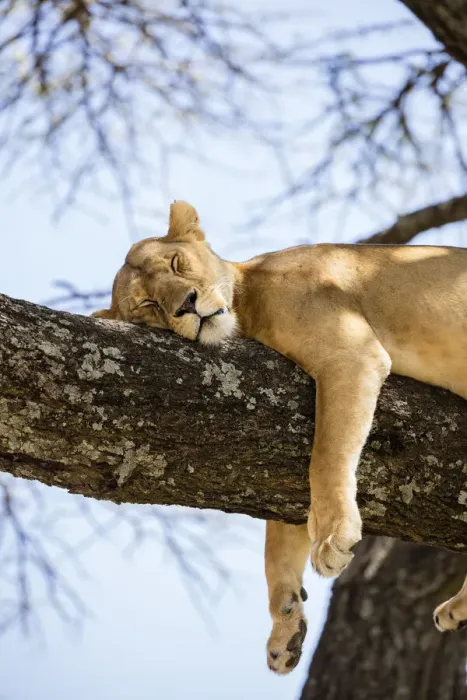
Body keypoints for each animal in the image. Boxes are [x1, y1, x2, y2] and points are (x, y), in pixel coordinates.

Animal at [93, 200, 467, 674]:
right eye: (147, 304)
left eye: (176, 263)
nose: (187, 306)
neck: (248, 303)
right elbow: (278, 540)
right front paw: (285, 624)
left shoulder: (350, 355)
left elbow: (326, 457)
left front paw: (333, 536)